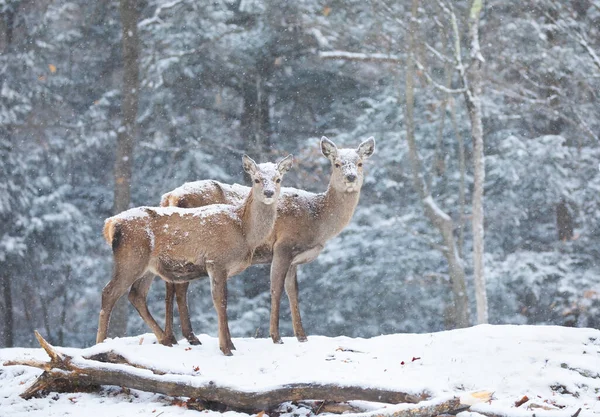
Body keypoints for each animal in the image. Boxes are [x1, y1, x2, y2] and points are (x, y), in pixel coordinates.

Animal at [97, 153, 294, 354]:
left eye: (278, 179)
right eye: (256, 179)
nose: (269, 193)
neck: (243, 231)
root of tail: (110, 224)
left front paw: (230, 344)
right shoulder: (216, 260)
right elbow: (220, 301)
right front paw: (226, 348)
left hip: (148, 267)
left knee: (136, 295)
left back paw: (165, 339)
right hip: (131, 258)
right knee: (109, 292)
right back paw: (101, 343)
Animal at [131, 136, 376, 344]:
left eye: (360, 163)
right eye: (337, 163)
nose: (351, 177)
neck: (316, 219)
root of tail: (170, 196)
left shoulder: (295, 258)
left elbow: (293, 292)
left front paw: (302, 336)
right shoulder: (284, 245)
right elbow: (276, 289)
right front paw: (276, 336)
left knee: (166, 288)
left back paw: (174, 337)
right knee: (178, 289)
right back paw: (187, 337)